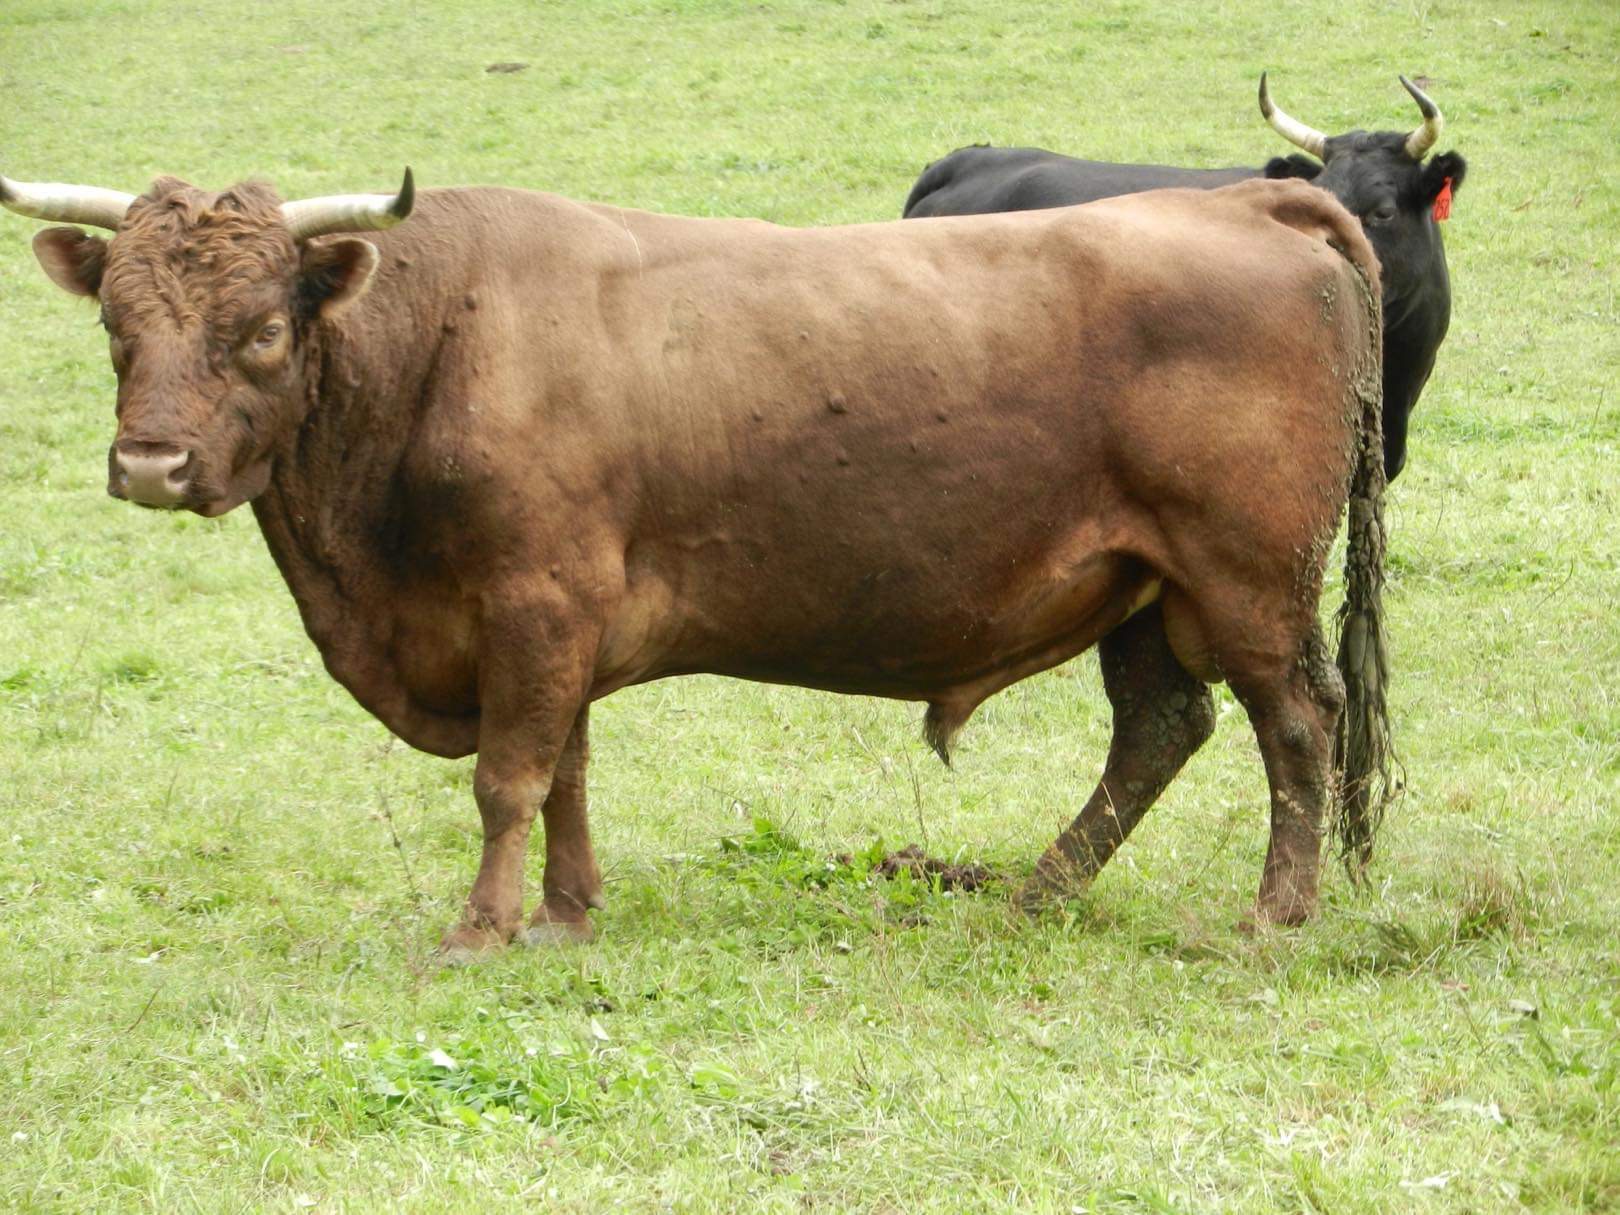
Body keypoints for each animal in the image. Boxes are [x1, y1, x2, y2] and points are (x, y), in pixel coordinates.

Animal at [2, 167, 1393, 958]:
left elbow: (509, 778)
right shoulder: (551, 624)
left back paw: (1275, 914)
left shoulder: (535, 603)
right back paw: (1035, 895)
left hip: (1245, 579)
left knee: (1295, 724)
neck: (445, 335)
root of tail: (1240, 197)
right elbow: (565, 772)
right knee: (1160, 731)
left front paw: (481, 931)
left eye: (260, 331)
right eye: (117, 325)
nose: (150, 464)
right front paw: (565, 914)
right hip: (1141, 590)